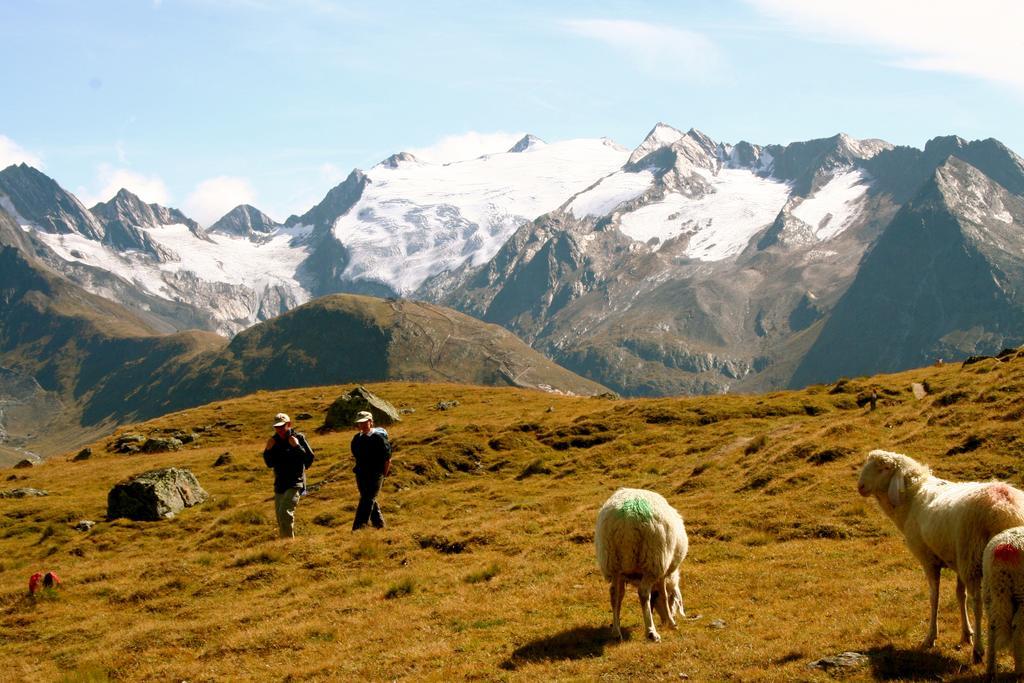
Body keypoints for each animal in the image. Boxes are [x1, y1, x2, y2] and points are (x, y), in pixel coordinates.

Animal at [593, 485, 688, 643]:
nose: (664, 622)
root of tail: (627, 519)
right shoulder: (662, 571)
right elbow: (662, 594)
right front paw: (671, 622)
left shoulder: (624, 575)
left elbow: (621, 595)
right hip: (653, 560)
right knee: (643, 592)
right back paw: (651, 632)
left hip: (612, 561)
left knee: (613, 593)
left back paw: (616, 632)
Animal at [978, 528, 1024, 675]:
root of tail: (1005, 547)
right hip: (1021, 592)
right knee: (1017, 627)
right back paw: (1020, 671)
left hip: (989, 592)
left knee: (992, 626)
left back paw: (990, 671)